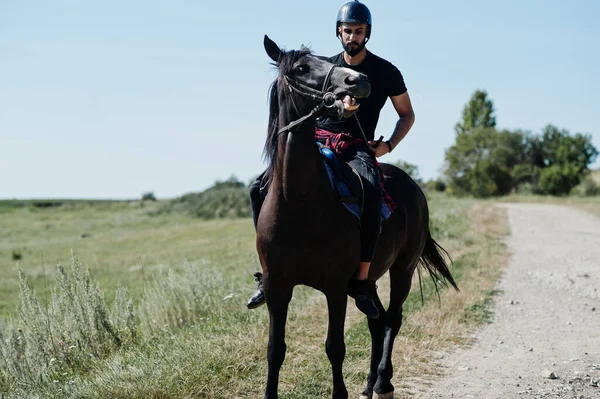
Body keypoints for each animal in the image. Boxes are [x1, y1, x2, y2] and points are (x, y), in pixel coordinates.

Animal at [255, 36, 458, 398]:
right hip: (366, 282)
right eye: (302, 68)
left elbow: (335, 347)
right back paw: (369, 383)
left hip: (402, 269)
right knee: (376, 321)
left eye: (326, 61)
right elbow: (274, 350)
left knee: (392, 319)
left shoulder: (335, 286)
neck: (299, 203)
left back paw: (383, 381)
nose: (359, 81)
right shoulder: (277, 286)